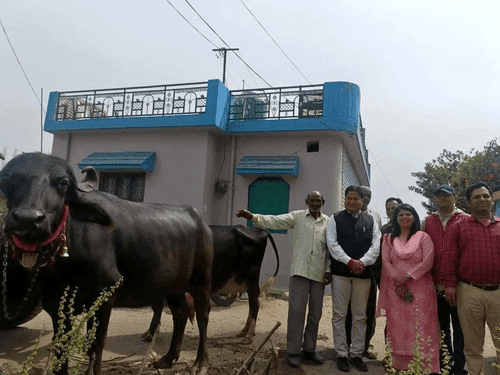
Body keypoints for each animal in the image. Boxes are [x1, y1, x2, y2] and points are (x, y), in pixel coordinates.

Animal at [0, 153, 213, 375]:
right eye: (8, 180)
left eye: (63, 183)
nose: (28, 219)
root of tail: (204, 225)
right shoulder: (55, 303)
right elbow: (61, 347)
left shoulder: (105, 294)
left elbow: (96, 345)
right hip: (172, 287)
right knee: (180, 313)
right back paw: (168, 358)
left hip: (202, 281)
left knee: (202, 316)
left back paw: (200, 362)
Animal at [144, 226, 282, 344]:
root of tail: (255, 229)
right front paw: (150, 332)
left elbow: (158, 309)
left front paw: (150, 334)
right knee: (253, 304)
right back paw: (244, 331)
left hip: (251, 277)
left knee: (254, 304)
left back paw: (248, 336)